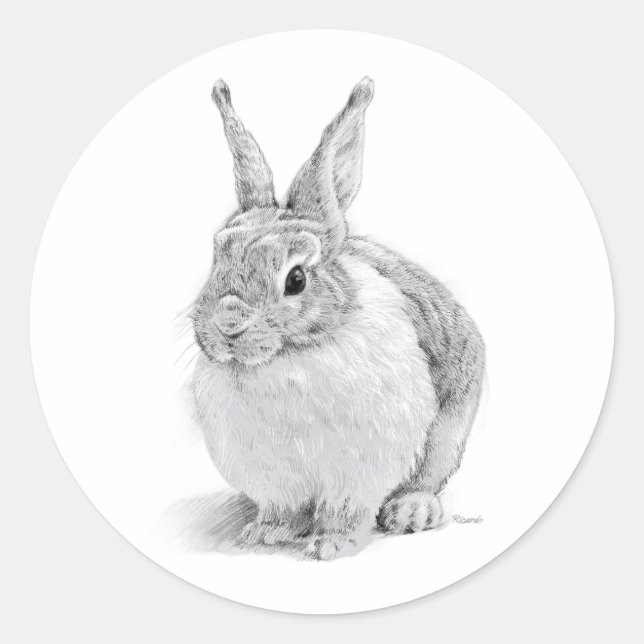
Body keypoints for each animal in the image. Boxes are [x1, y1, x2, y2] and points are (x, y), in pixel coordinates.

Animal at [191, 77, 485, 560]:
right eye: (217, 258)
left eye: (295, 279)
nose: (228, 327)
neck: (288, 357)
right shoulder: (273, 476)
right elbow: (284, 508)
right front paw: (267, 534)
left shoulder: (359, 468)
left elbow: (345, 508)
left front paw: (331, 544)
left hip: (448, 436)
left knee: (429, 478)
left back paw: (412, 512)